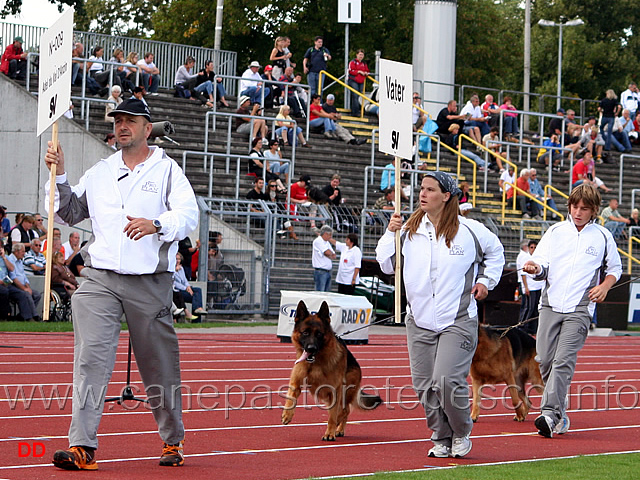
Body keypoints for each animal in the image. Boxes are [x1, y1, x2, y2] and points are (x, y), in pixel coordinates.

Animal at [282, 302, 382, 440]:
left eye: (319, 334)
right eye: (305, 332)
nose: (311, 348)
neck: (315, 363)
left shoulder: (334, 391)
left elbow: (333, 416)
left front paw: (330, 432)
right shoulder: (296, 383)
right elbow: (291, 398)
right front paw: (287, 414)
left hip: (343, 392)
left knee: (344, 410)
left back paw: (338, 427)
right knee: (343, 410)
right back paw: (339, 429)